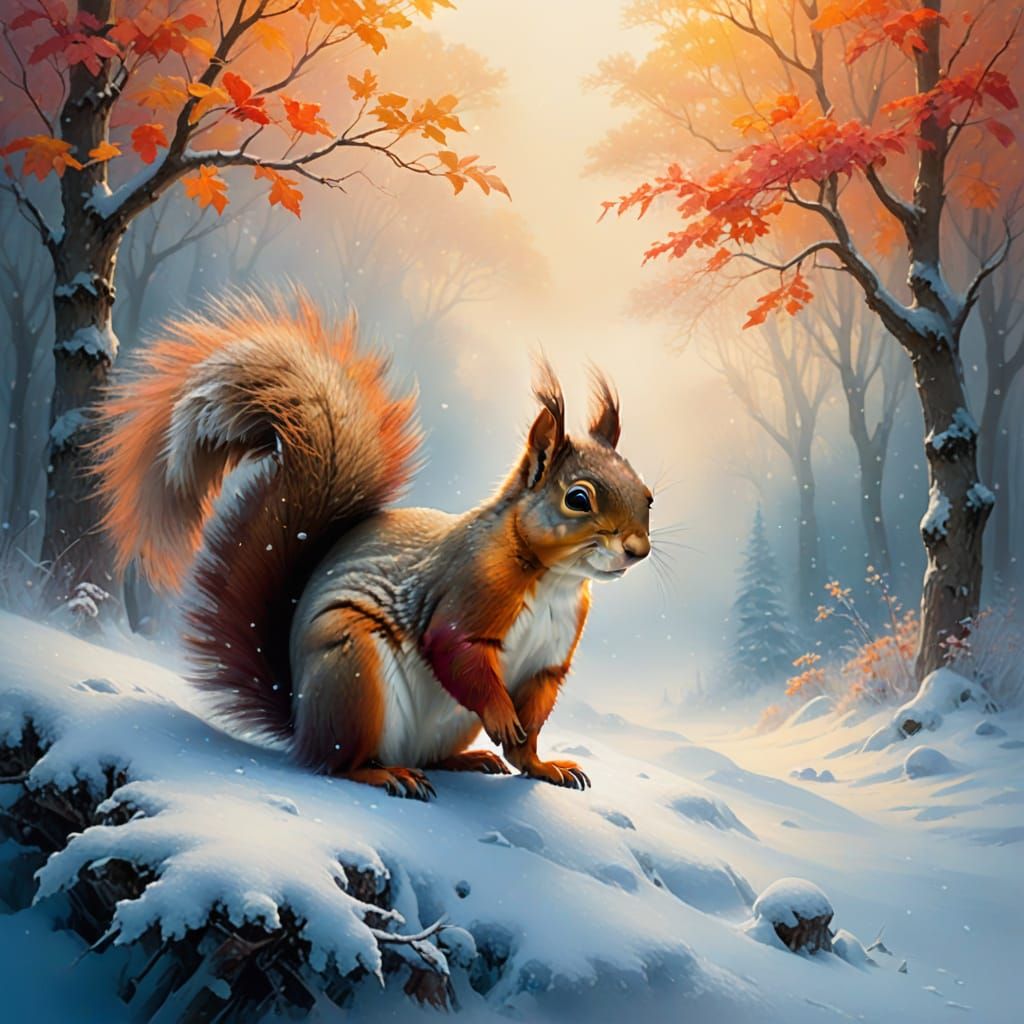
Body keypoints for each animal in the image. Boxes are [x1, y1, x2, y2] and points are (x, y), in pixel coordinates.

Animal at [95, 292, 653, 800]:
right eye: (578, 498)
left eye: (648, 496)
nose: (637, 550)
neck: (554, 576)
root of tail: (301, 721)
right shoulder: (469, 589)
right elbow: (456, 651)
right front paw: (502, 717)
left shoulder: (549, 661)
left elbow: (533, 720)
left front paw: (541, 765)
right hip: (353, 670)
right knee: (339, 764)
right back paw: (385, 775)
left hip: (439, 718)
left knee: (424, 755)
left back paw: (467, 760)